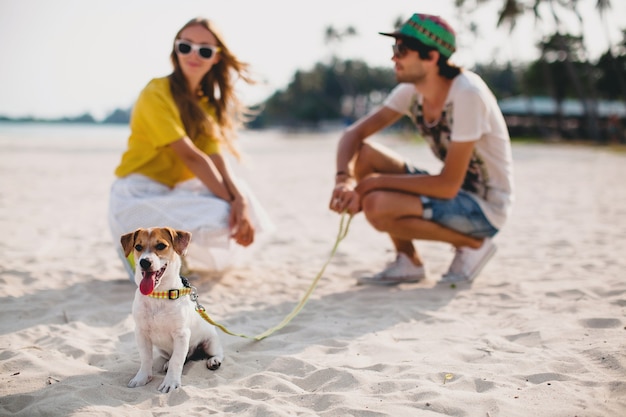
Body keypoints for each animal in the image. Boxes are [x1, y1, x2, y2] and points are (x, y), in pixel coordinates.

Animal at [118, 226, 223, 392]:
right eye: (138, 247)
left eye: (161, 246)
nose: (144, 262)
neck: (158, 295)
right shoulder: (141, 333)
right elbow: (146, 359)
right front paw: (142, 378)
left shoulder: (181, 334)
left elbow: (177, 362)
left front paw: (170, 382)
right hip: (164, 350)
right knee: (179, 357)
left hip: (210, 341)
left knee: (217, 353)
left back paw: (214, 361)